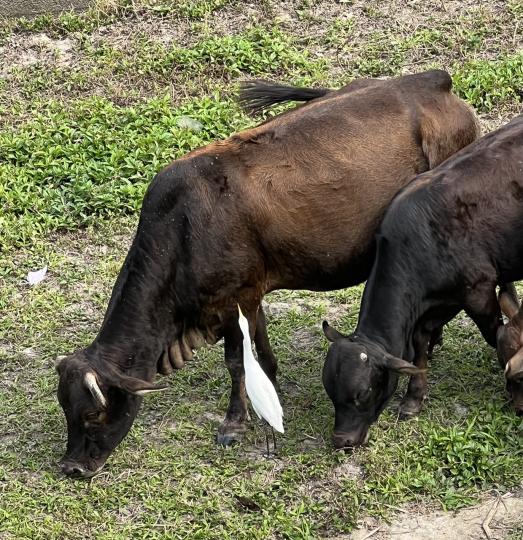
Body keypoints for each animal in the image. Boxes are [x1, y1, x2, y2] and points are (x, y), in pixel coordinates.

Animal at [324, 113, 523, 448]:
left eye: (363, 393)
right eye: (330, 392)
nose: (342, 440)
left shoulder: (478, 291)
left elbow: (495, 335)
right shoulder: (439, 303)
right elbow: (418, 345)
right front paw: (413, 398)